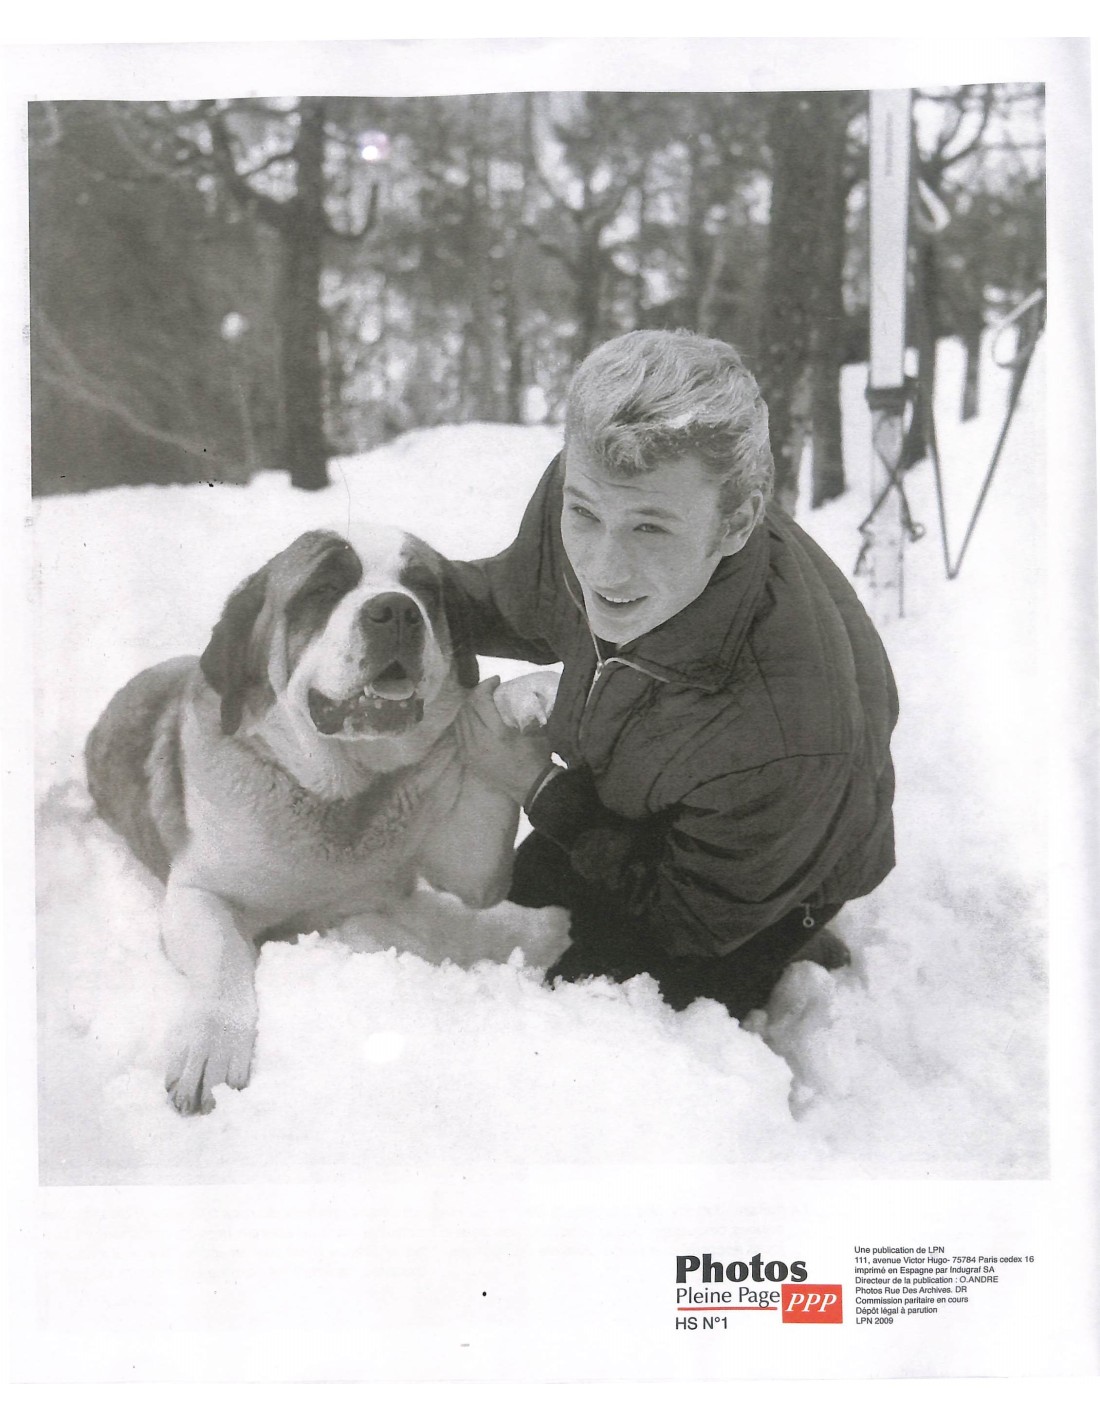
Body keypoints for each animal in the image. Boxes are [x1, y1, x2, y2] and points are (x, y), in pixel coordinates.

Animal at [85, 524, 557, 1116]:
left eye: (424, 588)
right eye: (326, 588)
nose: (396, 610)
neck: (338, 795)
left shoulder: (468, 864)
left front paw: (525, 693)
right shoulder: (197, 893)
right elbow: (224, 956)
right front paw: (213, 1046)